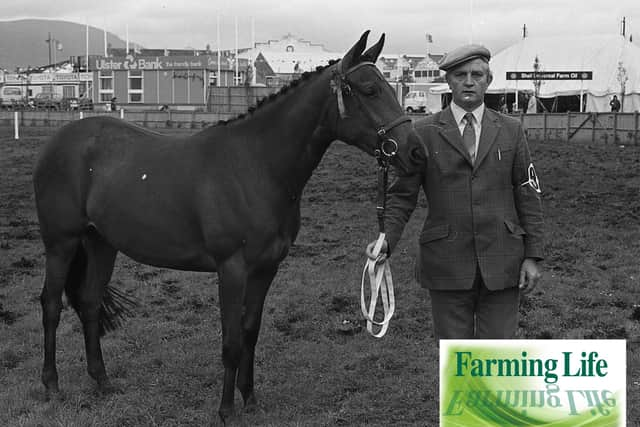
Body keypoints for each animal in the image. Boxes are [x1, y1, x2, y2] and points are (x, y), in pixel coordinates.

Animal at [33, 30, 424, 424]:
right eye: (369, 90)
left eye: (393, 88)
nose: (416, 152)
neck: (257, 165)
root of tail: (61, 141)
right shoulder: (232, 268)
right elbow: (231, 340)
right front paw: (226, 410)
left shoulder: (266, 269)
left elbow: (250, 331)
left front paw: (249, 398)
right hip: (62, 243)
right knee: (51, 304)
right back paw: (51, 385)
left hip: (101, 244)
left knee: (90, 303)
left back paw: (102, 381)